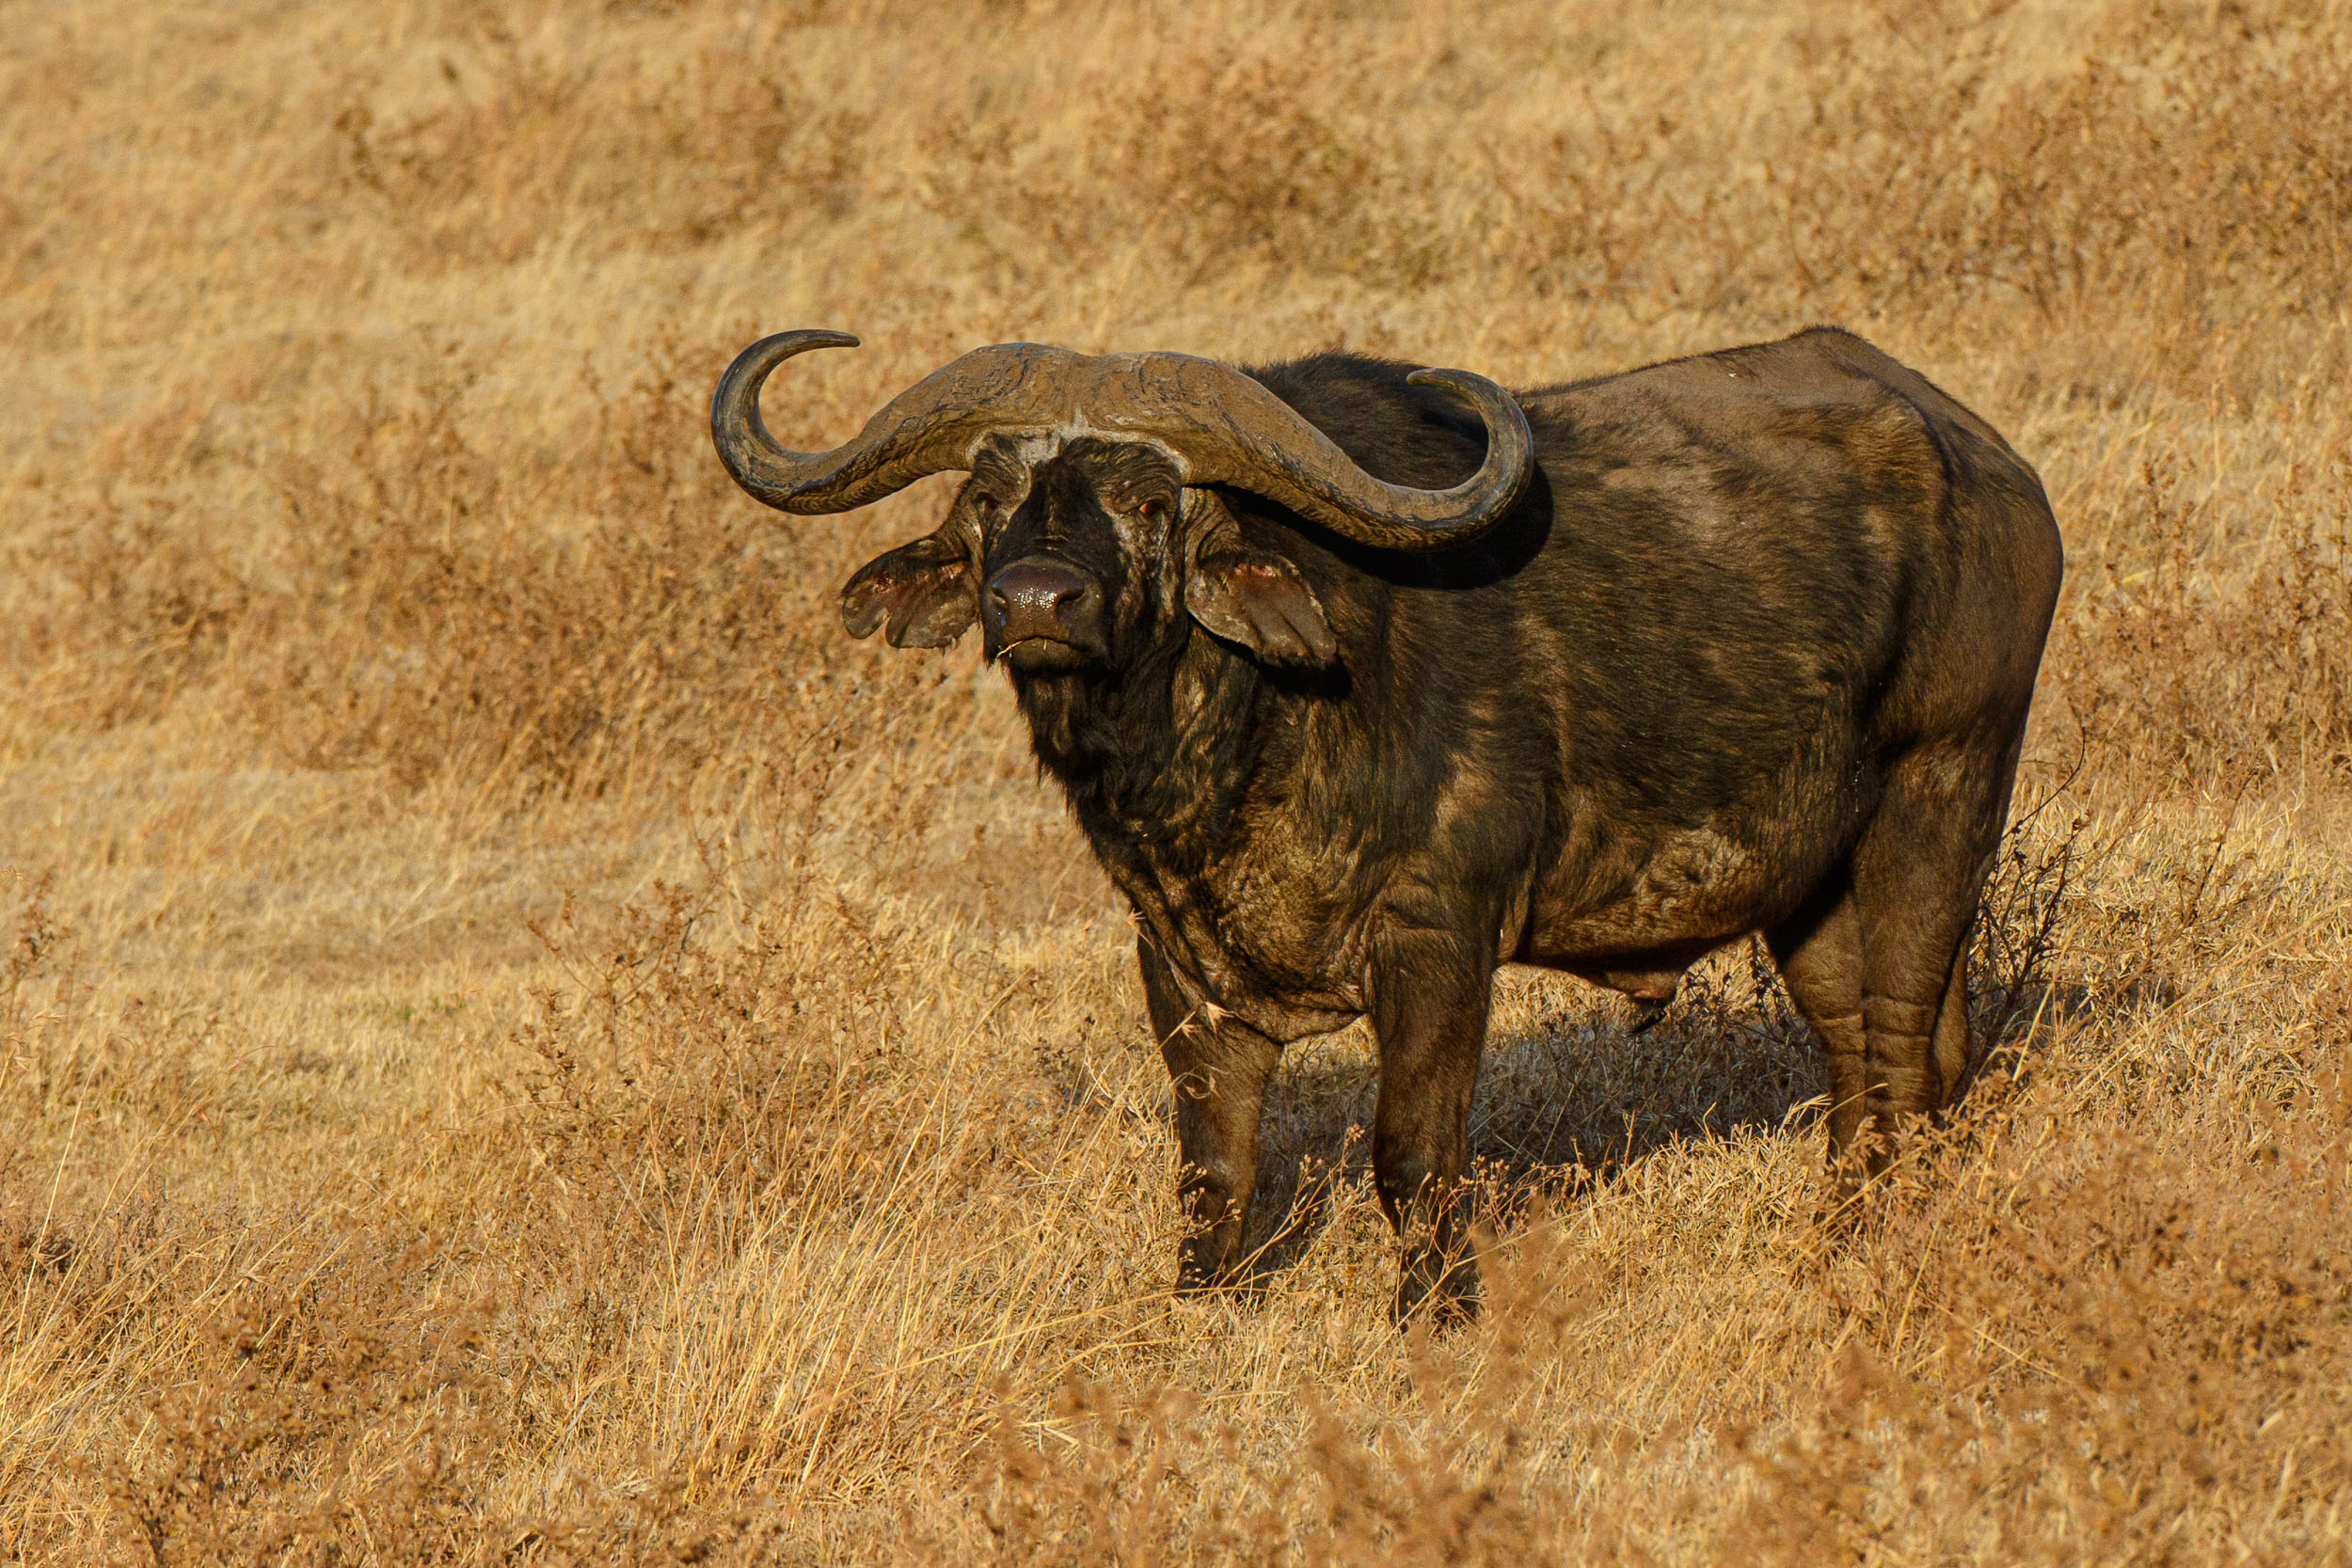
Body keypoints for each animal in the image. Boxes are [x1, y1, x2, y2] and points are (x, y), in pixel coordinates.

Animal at [710, 325, 2063, 1324]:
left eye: (1151, 500)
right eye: (992, 493)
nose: (1037, 601)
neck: (1245, 735)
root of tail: (1995, 471)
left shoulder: (1438, 944)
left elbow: (1411, 1152)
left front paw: (1432, 1315)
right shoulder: (1180, 964)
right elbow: (1213, 1168)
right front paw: (1200, 1306)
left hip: (1943, 795)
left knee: (1903, 1048)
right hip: (1809, 886)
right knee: (1866, 1061)